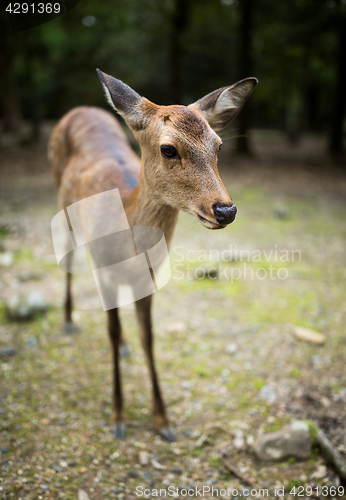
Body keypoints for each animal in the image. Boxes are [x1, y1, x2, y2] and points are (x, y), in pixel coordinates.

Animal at [50, 70, 258, 442]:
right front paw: (118, 416)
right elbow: (110, 329)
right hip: (63, 207)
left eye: (219, 146)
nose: (226, 210)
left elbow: (148, 338)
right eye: (168, 149)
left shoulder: (147, 277)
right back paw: (70, 320)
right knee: (70, 258)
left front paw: (163, 419)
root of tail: (79, 109)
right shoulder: (104, 271)